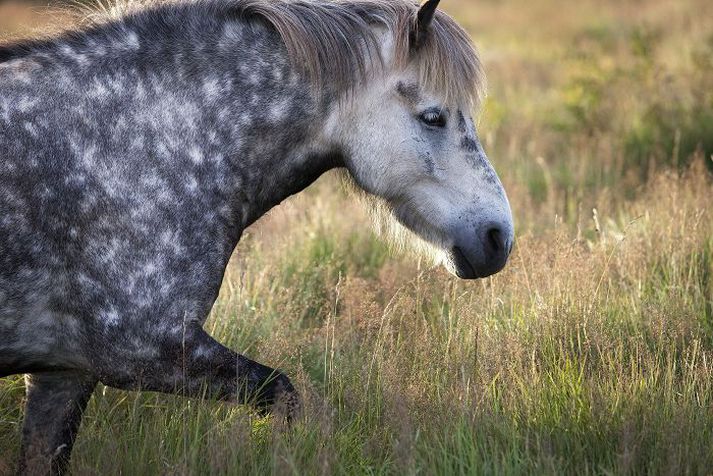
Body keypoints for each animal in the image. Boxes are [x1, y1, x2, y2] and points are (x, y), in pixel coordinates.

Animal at [0, 0, 512, 472]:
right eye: (433, 117)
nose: (498, 238)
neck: (136, 145)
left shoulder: (64, 372)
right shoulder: (142, 349)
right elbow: (282, 393)